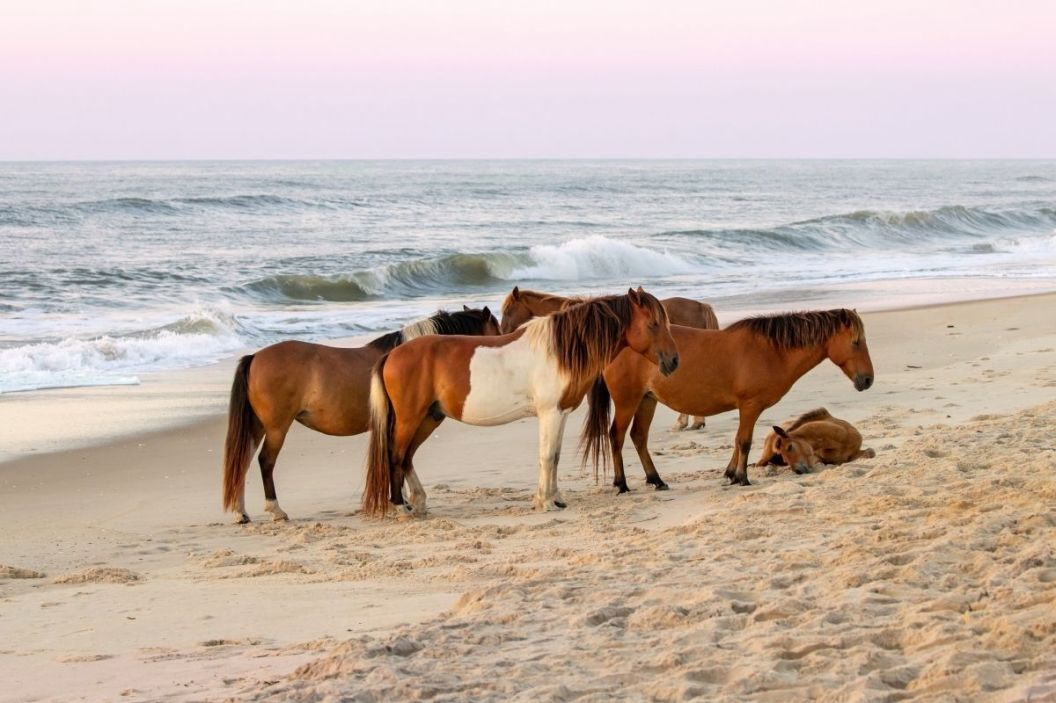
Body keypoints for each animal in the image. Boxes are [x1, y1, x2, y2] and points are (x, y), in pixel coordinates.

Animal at [219, 304, 498, 523]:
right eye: (495, 328)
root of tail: (255, 356)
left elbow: (402, 459)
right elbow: (400, 457)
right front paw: (403, 502)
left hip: (258, 425)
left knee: (242, 461)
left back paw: (241, 513)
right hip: (277, 427)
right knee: (265, 461)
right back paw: (276, 510)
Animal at [363, 287, 675, 517]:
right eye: (653, 323)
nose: (673, 362)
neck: (558, 351)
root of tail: (391, 355)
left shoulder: (560, 414)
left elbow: (555, 456)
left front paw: (555, 498)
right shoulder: (550, 413)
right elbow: (547, 456)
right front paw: (546, 502)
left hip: (429, 418)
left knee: (407, 457)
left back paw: (418, 502)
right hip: (410, 419)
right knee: (395, 455)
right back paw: (400, 506)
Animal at [587, 310, 874, 489]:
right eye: (856, 342)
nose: (867, 380)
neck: (771, 351)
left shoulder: (746, 408)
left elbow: (737, 441)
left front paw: (731, 475)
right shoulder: (750, 406)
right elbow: (744, 441)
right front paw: (742, 477)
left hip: (647, 400)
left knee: (639, 437)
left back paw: (656, 480)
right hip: (628, 401)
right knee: (617, 437)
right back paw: (622, 484)